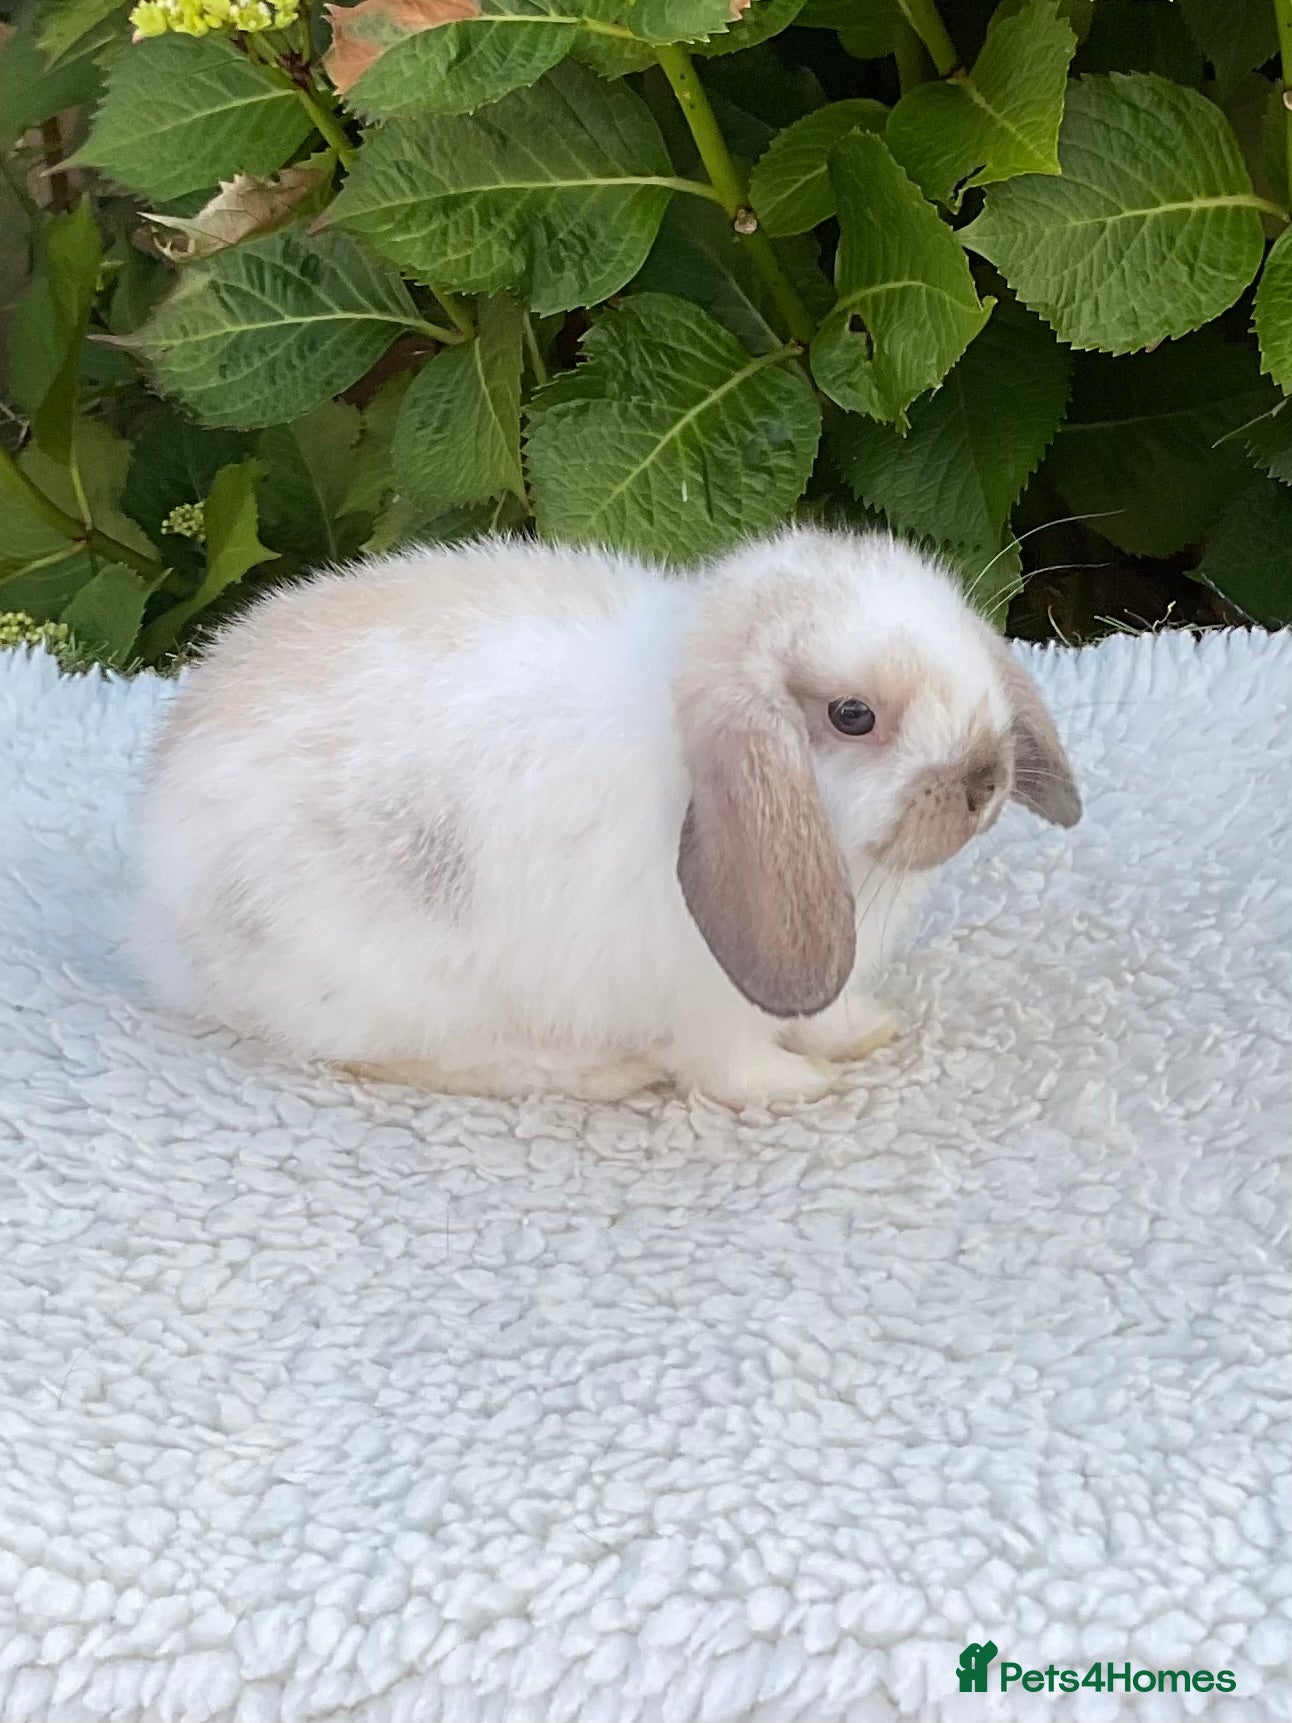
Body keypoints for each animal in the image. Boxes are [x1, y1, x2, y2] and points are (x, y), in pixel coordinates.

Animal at [135, 526, 1080, 1108]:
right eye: (854, 715)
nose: (985, 778)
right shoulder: (709, 1003)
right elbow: (731, 1068)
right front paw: (802, 1087)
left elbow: (827, 1011)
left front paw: (865, 1033)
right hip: (390, 991)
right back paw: (603, 1072)